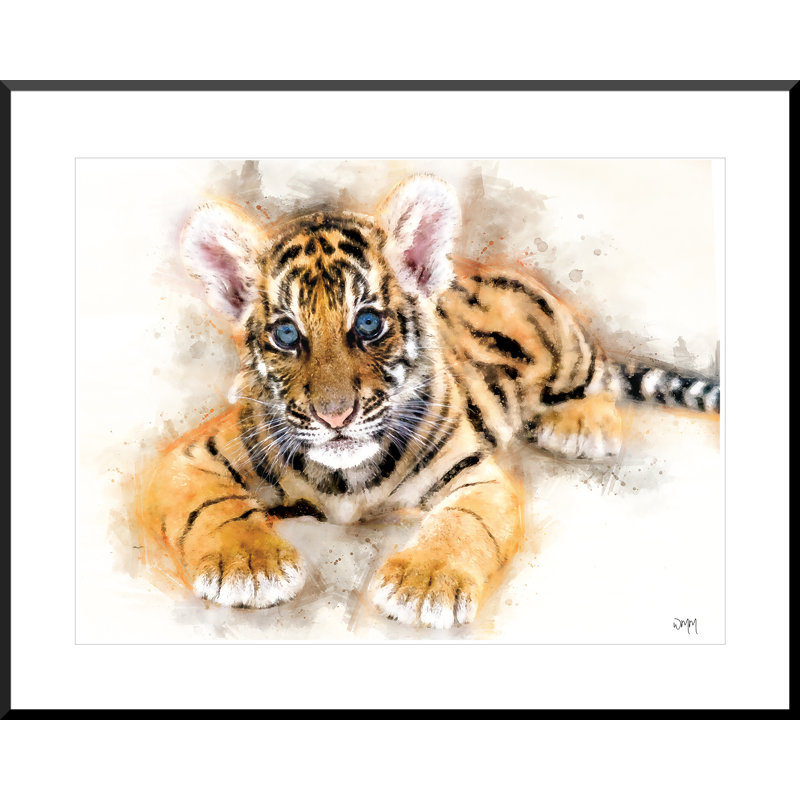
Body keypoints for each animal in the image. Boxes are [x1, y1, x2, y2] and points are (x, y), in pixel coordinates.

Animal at [140, 174, 720, 629]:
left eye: (368, 323)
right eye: (286, 334)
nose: (335, 416)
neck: (346, 481)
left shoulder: (476, 473)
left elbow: (463, 522)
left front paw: (424, 584)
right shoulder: (194, 456)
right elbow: (211, 507)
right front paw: (250, 565)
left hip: (558, 337)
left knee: (596, 378)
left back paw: (580, 424)